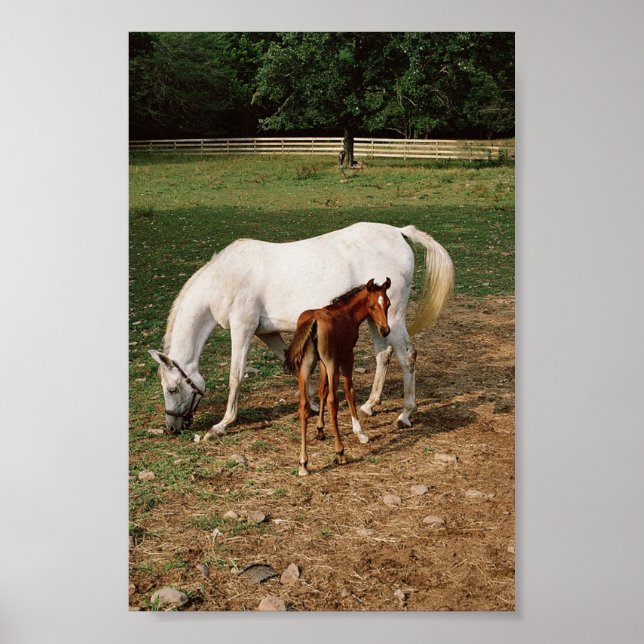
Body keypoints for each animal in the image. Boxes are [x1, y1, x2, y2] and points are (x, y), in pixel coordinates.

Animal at [148, 222, 454, 439]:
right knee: (383, 355)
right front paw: (315, 406)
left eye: (173, 388)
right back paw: (369, 405)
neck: (225, 278)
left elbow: (236, 376)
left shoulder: (242, 329)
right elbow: (292, 363)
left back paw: (405, 415)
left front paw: (222, 424)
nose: (172, 427)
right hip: (376, 320)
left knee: (407, 355)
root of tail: (399, 233)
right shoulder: (265, 332)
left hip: (393, 318)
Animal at [284, 279, 391, 476]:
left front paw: (320, 429)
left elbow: (322, 390)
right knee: (333, 401)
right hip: (331, 362)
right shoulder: (346, 356)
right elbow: (349, 391)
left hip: (306, 366)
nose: (385, 330)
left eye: (388, 304)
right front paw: (360, 432)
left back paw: (303, 463)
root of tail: (313, 321)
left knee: (303, 405)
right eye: (372, 306)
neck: (346, 314)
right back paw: (340, 452)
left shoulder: (322, 363)